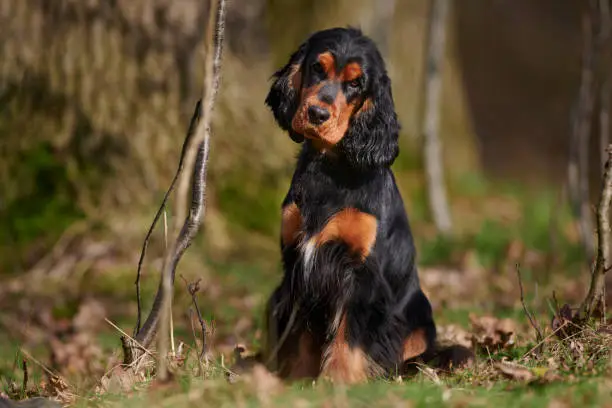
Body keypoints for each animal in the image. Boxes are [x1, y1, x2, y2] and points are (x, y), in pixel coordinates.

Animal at [258, 27, 440, 384]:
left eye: (356, 83)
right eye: (317, 67)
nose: (317, 114)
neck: (331, 168)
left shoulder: (360, 272)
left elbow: (349, 336)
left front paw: (338, 382)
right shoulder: (298, 266)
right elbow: (301, 334)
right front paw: (297, 380)